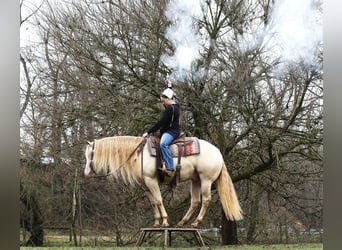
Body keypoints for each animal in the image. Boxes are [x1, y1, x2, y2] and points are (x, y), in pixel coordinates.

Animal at [84, 136, 242, 228]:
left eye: (90, 154)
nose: (86, 173)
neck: (138, 154)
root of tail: (218, 152)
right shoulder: (145, 185)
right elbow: (153, 202)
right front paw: (156, 222)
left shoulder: (152, 180)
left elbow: (159, 200)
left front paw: (165, 221)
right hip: (195, 180)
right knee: (195, 201)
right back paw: (182, 222)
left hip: (206, 180)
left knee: (206, 200)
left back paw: (196, 222)